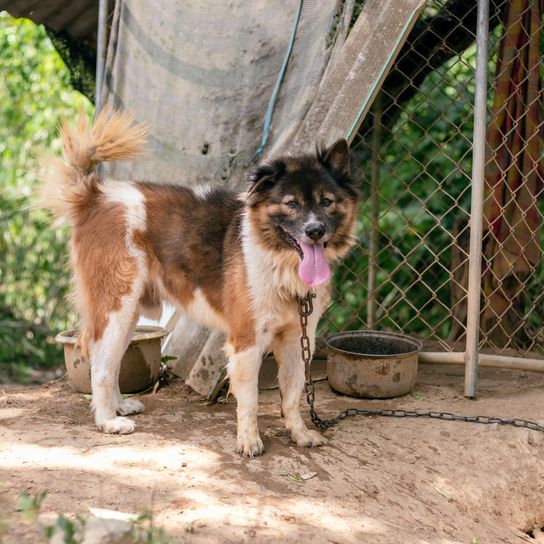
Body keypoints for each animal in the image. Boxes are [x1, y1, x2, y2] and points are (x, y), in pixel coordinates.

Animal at [41, 108, 356, 456]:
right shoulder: (247, 339)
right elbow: (250, 398)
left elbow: (293, 393)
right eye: (291, 203)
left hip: (128, 314)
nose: (315, 231)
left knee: (109, 363)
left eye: (326, 201)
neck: (279, 261)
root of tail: (95, 197)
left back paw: (119, 406)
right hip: (116, 306)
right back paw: (108, 421)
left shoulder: (297, 339)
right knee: (99, 366)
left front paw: (299, 433)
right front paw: (249, 440)